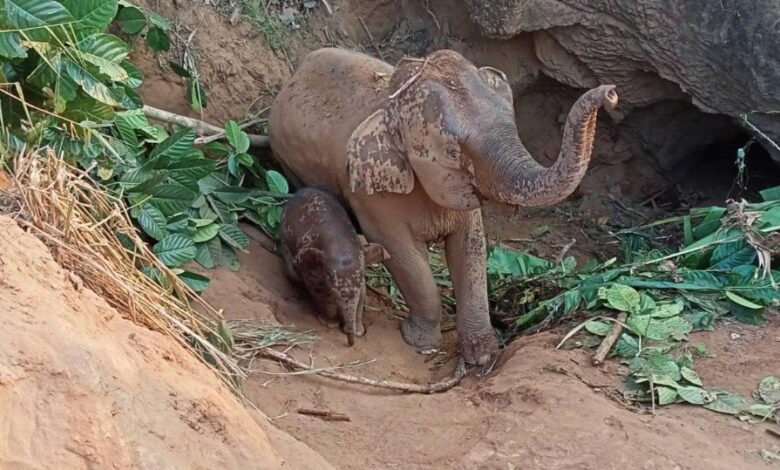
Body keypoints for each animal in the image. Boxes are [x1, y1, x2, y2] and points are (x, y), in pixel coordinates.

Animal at [280, 187, 389, 346]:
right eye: (334, 291)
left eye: (361, 282)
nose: (350, 343)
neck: (340, 244)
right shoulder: (312, 271)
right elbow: (321, 293)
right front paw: (330, 324)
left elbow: (362, 294)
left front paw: (358, 331)